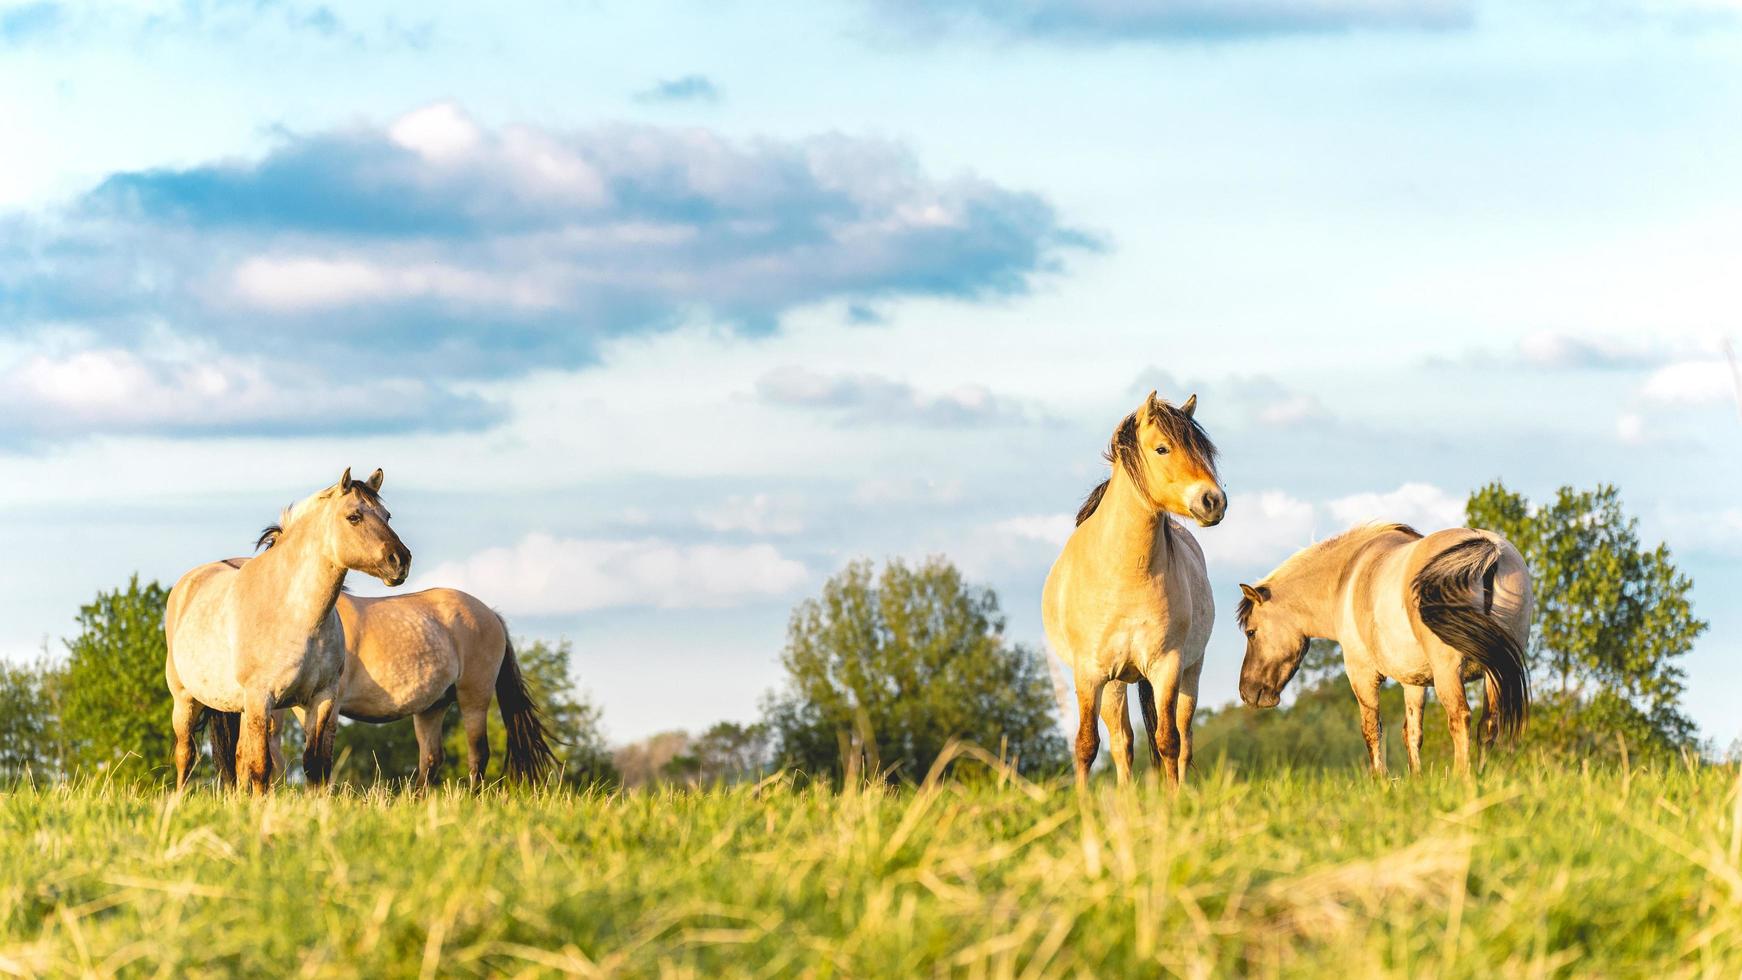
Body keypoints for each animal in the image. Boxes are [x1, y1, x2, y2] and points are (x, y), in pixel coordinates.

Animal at [164, 469, 412, 797]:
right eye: (354, 517)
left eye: (387, 516)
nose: (401, 560)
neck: (296, 614)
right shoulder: (261, 699)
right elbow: (261, 766)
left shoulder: (321, 699)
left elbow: (315, 765)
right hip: (186, 700)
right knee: (186, 754)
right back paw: (178, 800)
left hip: (241, 708)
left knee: (237, 757)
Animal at [254, 581, 557, 790]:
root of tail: (492, 615)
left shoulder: (328, 704)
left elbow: (321, 756)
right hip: (433, 707)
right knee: (432, 759)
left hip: (475, 698)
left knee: (478, 754)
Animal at [1045, 391, 1226, 790]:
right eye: (1162, 448)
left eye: (1204, 450)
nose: (1213, 501)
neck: (1125, 575)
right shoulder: (1090, 673)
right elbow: (1087, 744)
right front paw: (1083, 802)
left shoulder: (1167, 667)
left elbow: (1168, 741)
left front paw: (1173, 799)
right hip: (1114, 684)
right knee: (1121, 743)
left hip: (1190, 672)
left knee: (1184, 737)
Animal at [1233, 525, 1532, 779]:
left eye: (1251, 632)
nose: (1248, 692)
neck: (1346, 577)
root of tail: (1489, 548)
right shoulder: (1414, 682)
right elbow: (1412, 733)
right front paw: (1416, 780)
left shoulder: (1361, 674)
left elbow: (1372, 729)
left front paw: (1381, 781)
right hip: (1494, 672)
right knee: (1488, 725)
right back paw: (1480, 776)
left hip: (1449, 673)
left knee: (1460, 718)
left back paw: (1462, 778)